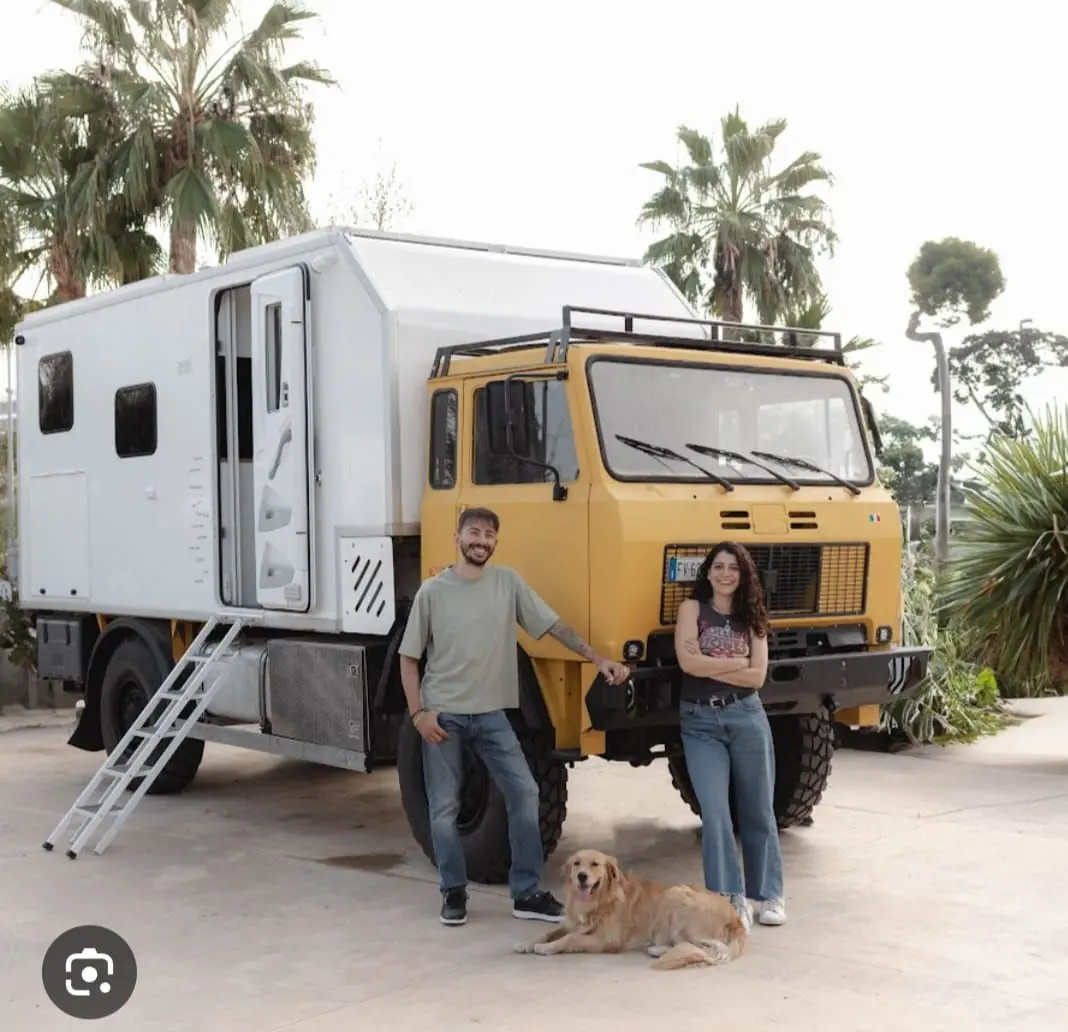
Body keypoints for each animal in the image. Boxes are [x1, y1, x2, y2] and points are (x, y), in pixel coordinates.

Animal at [512, 850, 747, 970]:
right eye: (577, 863)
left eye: (595, 864)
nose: (581, 876)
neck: (599, 901)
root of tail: (736, 919)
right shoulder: (573, 923)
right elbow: (549, 932)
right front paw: (526, 943)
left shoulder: (608, 940)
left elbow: (569, 939)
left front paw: (547, 948)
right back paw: (656, 949)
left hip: (676, 895)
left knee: (698, 946)